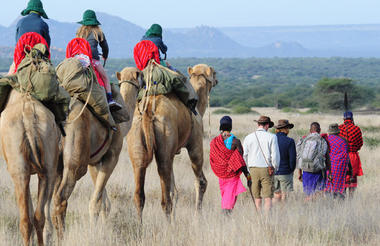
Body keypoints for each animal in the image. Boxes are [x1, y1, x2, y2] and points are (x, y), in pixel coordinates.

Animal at [52, 67, 141, 236]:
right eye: (142, 76)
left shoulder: (94, 161)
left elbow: (103, 201)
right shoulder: (112, 156)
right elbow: (96, 203)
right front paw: (95, 232)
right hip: (75, 161)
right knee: (61, 196)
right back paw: (61, 236)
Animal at [127, 64, 217, 221]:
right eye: (214, 73)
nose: (217, 80)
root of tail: (148, 110)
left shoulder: (173, 153)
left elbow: (173, 189)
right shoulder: (196, 142)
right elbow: (201, 182)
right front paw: (197, 218)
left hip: (136, 141)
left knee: (139, 192)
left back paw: (139, 225)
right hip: (165, 140)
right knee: (165, 199)